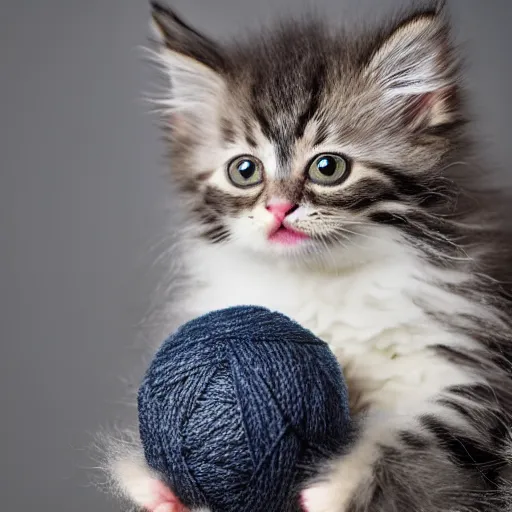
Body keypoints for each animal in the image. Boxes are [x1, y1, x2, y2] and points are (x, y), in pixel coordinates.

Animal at [106, 1, 512, 512]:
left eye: (328, 167)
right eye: (245, 170)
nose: (279, 208)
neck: (319, 279)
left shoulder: (471, 372)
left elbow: (426, 445)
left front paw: (338, 487)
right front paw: (155, 483)